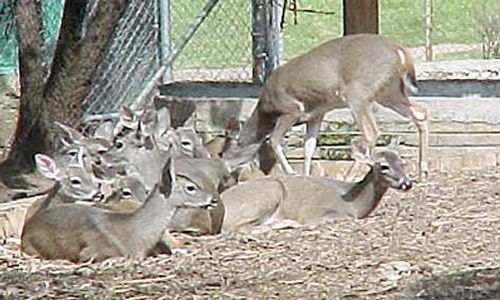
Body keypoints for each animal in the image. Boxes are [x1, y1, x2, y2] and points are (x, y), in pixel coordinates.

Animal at [221, 141, 412, 234]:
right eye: (384, 166)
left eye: (402, 162)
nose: (407, 183)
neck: (354, 204)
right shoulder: (311, 211)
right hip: (268, 193)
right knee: (236, 228)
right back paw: (288, 223)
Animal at [230, 33, 430, 178]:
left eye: (228, 149)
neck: (265, 110)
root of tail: (401, 52)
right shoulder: (316, 114)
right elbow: (309, 146)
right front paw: (306, 174)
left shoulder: (291, 110)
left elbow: (274, 140)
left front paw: (291, 172)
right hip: (389, 92)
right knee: (421, 113)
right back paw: (423, 171)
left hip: (358, 93)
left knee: (372, 132)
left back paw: (350, 175)